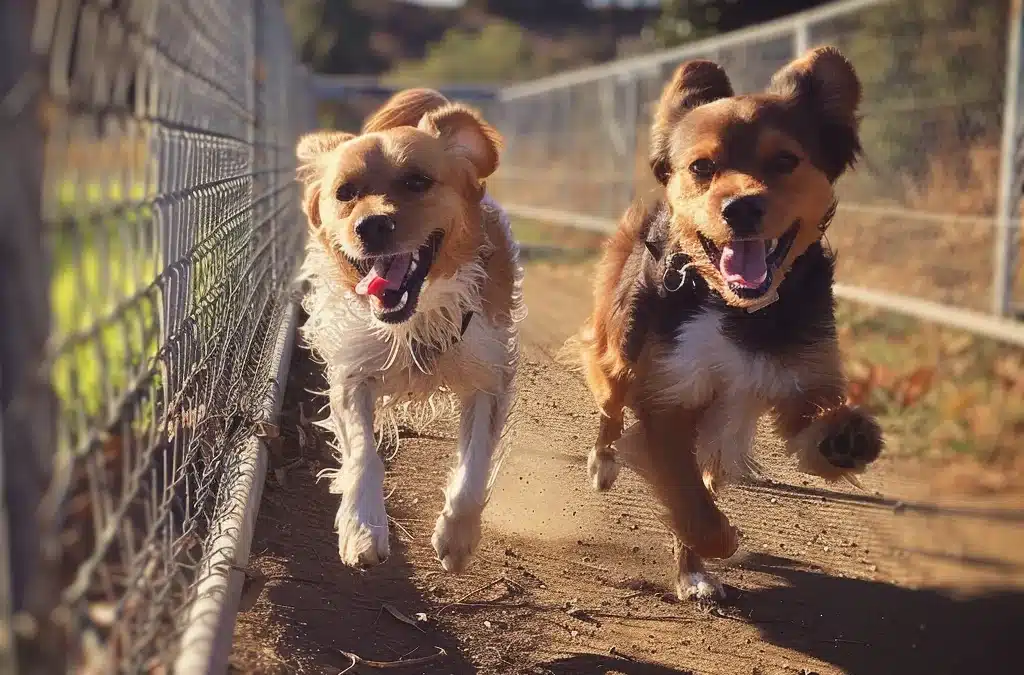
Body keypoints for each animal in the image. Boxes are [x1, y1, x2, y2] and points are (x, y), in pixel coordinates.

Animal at [581, 44, 884, 598]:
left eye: (785, 161)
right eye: (703, 167)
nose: (742, 207)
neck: (735, 309)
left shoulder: (796, 376)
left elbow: (808, 420)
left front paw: (842, 438)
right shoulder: (668, 398)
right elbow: (692, 506)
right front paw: (714, 546)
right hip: (621, 348)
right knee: (611, 407)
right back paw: (603, 463)